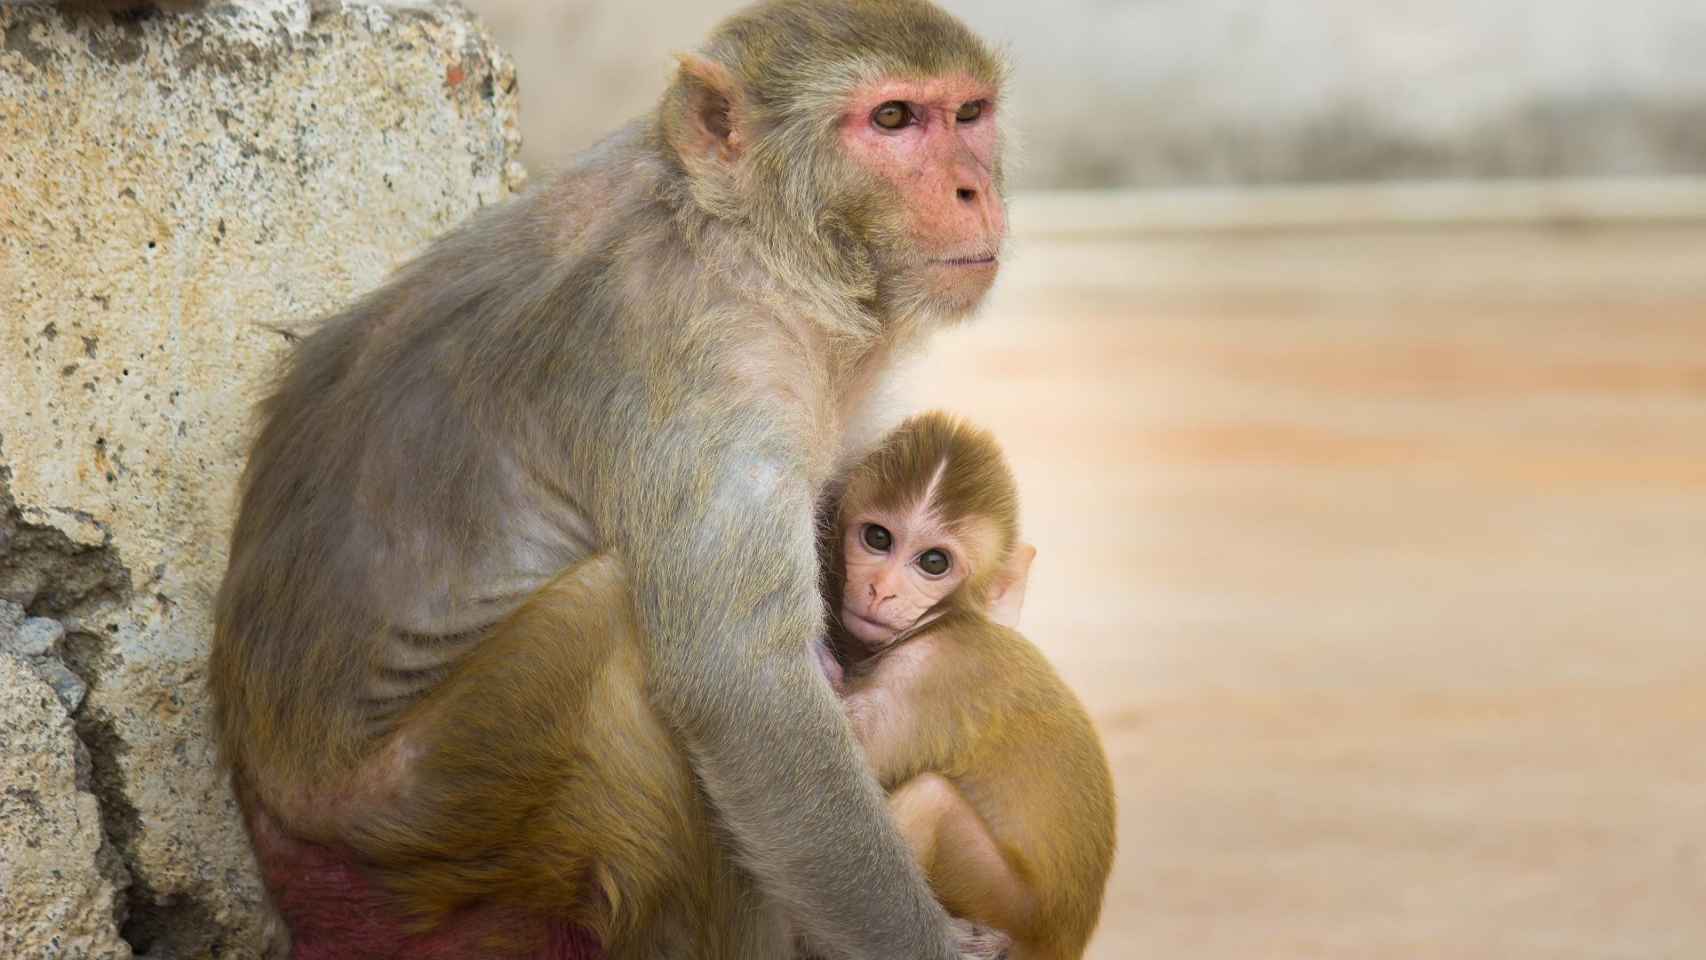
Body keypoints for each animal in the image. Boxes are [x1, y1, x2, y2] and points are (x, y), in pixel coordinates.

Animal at [211, 1, 1009, 960]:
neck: (742, 238)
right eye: (892, 119)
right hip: (429, 813)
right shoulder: (713, 370)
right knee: (619, 626)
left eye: (969, 114)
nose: (973, 189)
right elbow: (745, 690)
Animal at [825, 417, 1119, 960]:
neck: (944, 621)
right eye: (877, 538)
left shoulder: (928, 673)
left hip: (1009, 904)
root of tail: (1063, 944)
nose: (881, 589)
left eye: (933, 563)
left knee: (928, 801)